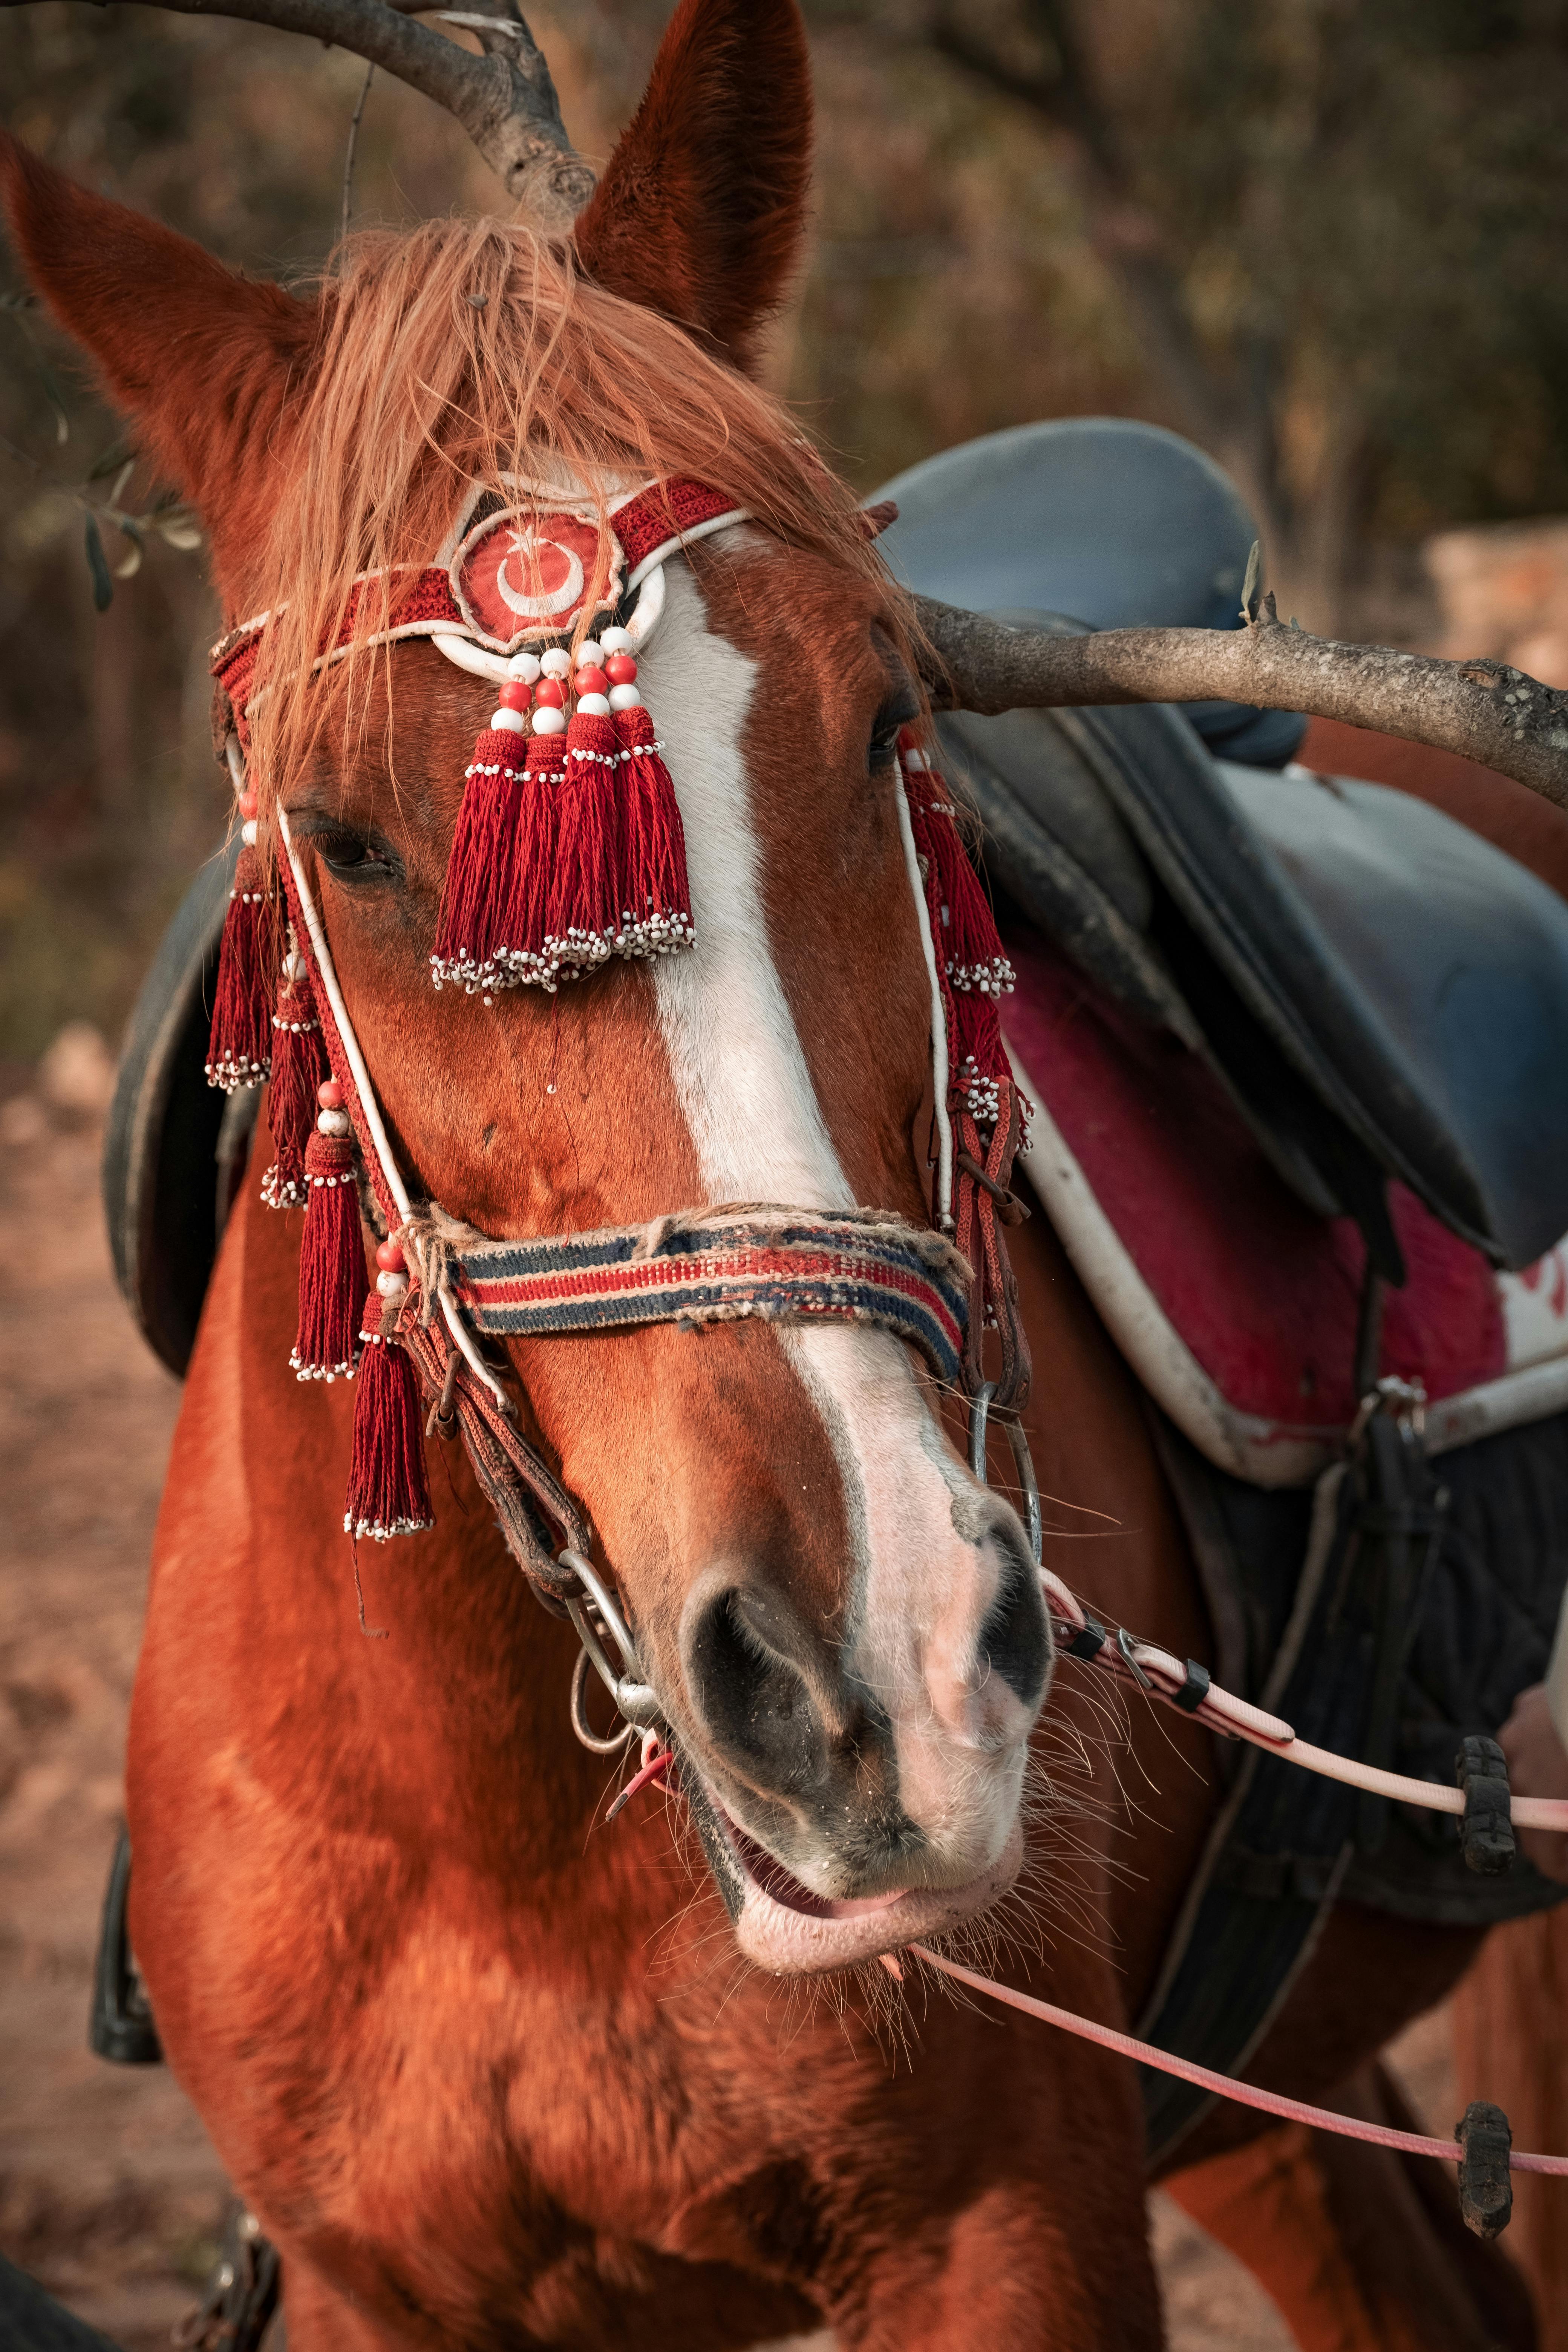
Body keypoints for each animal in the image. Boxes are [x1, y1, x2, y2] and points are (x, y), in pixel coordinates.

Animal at [5, 2, 1567, 2343]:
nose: (875, 1687)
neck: (503, 1824)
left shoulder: (1008, 2226)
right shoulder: (384, 2293)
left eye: (890, 722)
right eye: (343, 842)